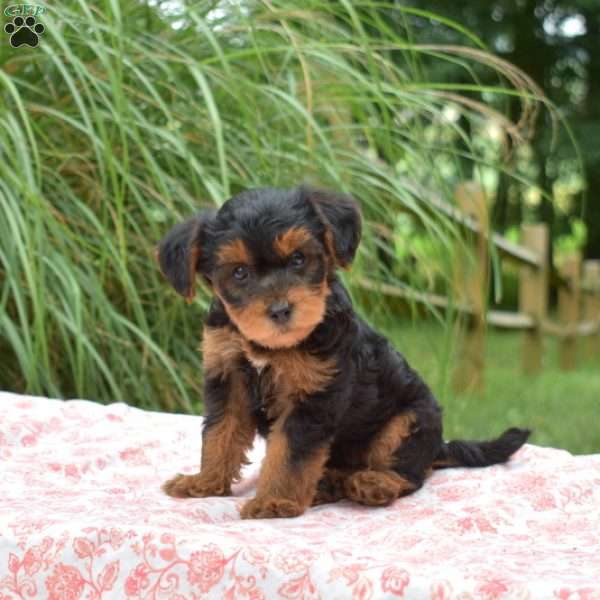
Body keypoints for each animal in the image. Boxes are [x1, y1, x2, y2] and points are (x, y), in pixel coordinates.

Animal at [156, 185, 528, 516]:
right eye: (239, 272)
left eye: (298, 258)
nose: (280, 310)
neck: (269, 346)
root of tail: (439, 446)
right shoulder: (228, 377)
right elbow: (220, 434)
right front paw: (205, 482)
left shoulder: (312, 396)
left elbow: (290, 453)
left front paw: (274, 501)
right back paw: (328, 485)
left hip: (407, 422)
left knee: (411, 474)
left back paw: (373, 484)